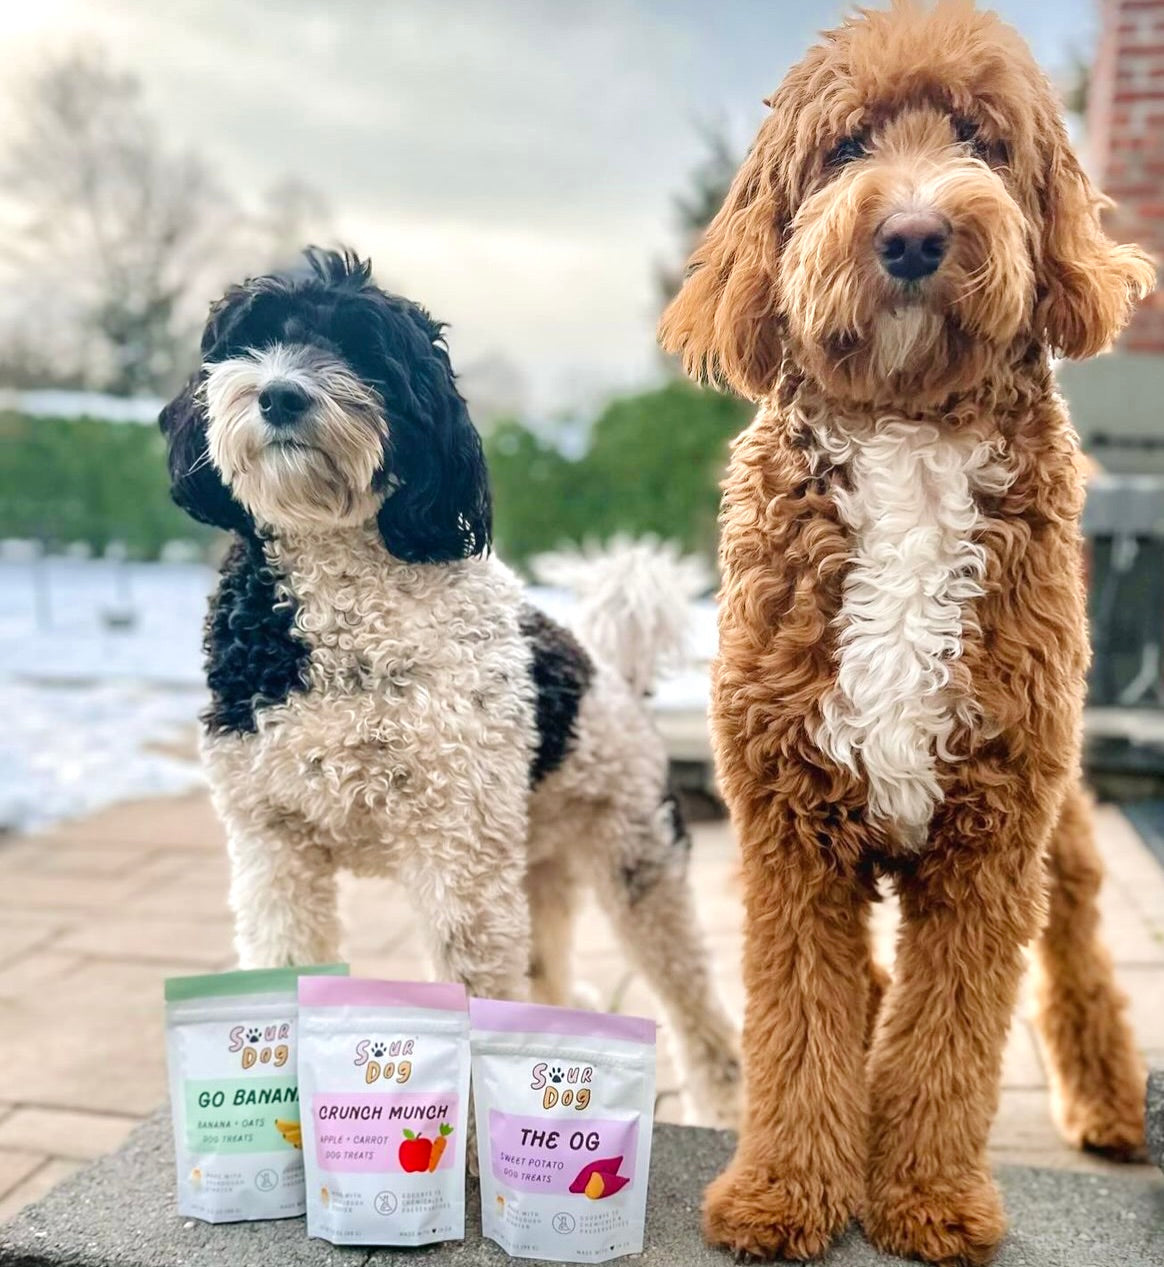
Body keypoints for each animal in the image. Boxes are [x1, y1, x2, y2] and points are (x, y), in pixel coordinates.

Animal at [160, 249, 739, 1130]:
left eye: (364, 350)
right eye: (249, 339)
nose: (281, 394)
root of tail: (618, 676)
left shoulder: (456, 851)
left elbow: (468, 984)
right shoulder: (272, 844)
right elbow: (288, 957)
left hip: (638, 858)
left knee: (696, 1006)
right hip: (538, 869)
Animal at [658, 2, 1150, 1267]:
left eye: (981, 140)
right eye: (845, 149)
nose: (918, 234)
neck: (910, 437)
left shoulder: (995, 826)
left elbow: (952, 1036)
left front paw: (928, 1198)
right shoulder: (790, 820)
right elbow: (799, 1021)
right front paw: (784, 1190)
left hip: (1064, 824)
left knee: (1078, 958)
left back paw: (1111, 1102)